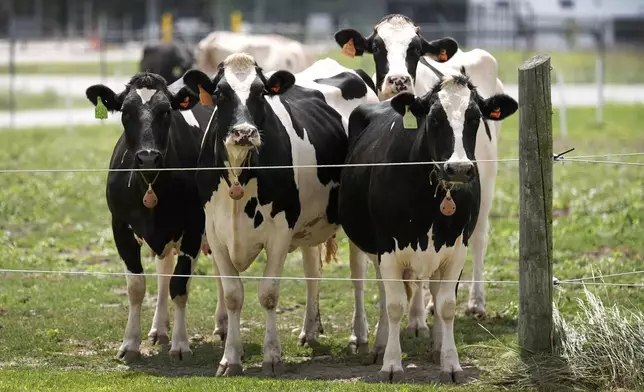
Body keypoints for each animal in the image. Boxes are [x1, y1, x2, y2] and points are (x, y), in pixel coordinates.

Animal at [84, 72, 220, 362]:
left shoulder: (194, 227)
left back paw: (222, 325)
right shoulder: (120, 226)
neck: (150, 184)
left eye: (166, 111)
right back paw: (159, 329)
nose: (147, 157)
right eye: (125, 111)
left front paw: (181, 344)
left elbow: (180, 286)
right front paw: (130, 344)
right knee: (163, 271)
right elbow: (137, 287)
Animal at [177, 53, 378, 376]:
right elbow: (233, 295)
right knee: (312, 272)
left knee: (358, 274)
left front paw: (272, 356)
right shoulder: (216, 233)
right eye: (220, 93)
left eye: (261, 92)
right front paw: (230, 358)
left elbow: (268, 293)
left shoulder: (280, 231)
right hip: (310, 221)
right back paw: (309, 330)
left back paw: (359, 336)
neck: (240, 174)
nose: (244, 132)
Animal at [338, 14, 508, 334]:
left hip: (488, 178)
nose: (398, 80)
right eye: (376, 47)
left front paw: (417, 320)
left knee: (479, 238)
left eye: (415, 49)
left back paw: (475, 302)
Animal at [338, 72, 520, 382]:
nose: (458, 169)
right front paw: (391, 364)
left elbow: (446, 305)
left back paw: (436, 346)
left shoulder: (457, 248)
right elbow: (395, 305)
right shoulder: (387, 248)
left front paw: (450, 362)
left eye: (474, 118)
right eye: (434, 119)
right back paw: (380, 345)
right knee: (384, 293)